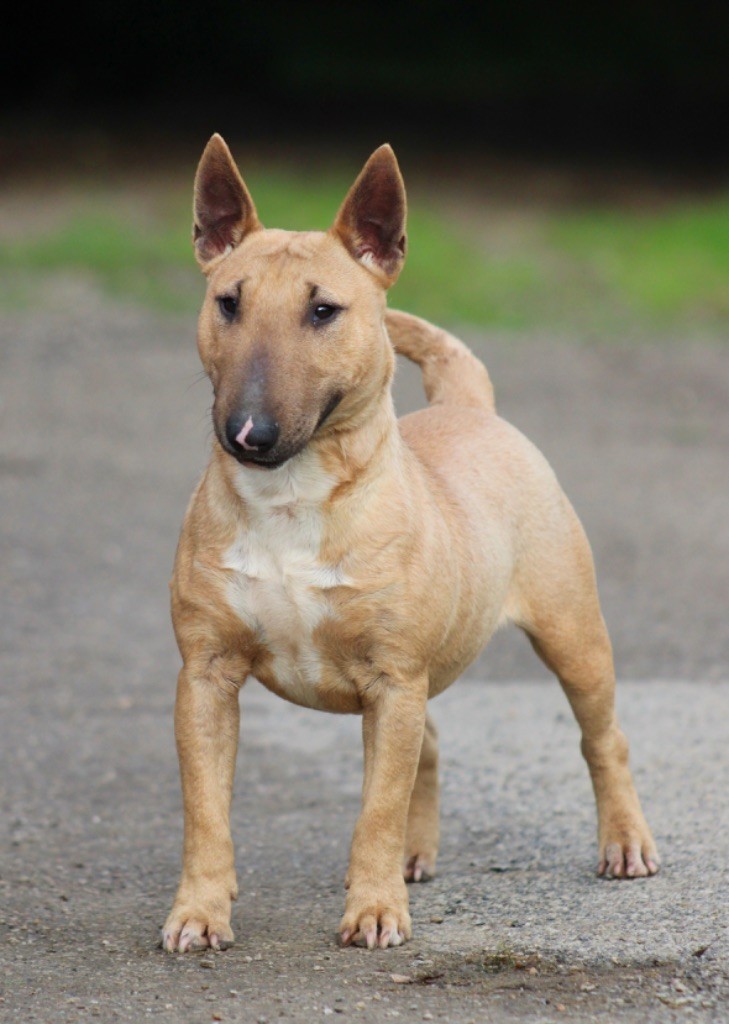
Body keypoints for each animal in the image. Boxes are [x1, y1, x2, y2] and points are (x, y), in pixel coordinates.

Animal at [160, 134, 659, 950]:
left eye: (324, 310)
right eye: (227, 302)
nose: (247, 434)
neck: (292, 496)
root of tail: (471, 405)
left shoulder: (392, 677)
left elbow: (376, 809)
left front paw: (372, 911)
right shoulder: (207, 674)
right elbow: (207, 811)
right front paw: (198, 914)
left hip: (571, 632)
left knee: (601, 736)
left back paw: (623, 844)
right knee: (427, 745)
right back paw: (414, 857)